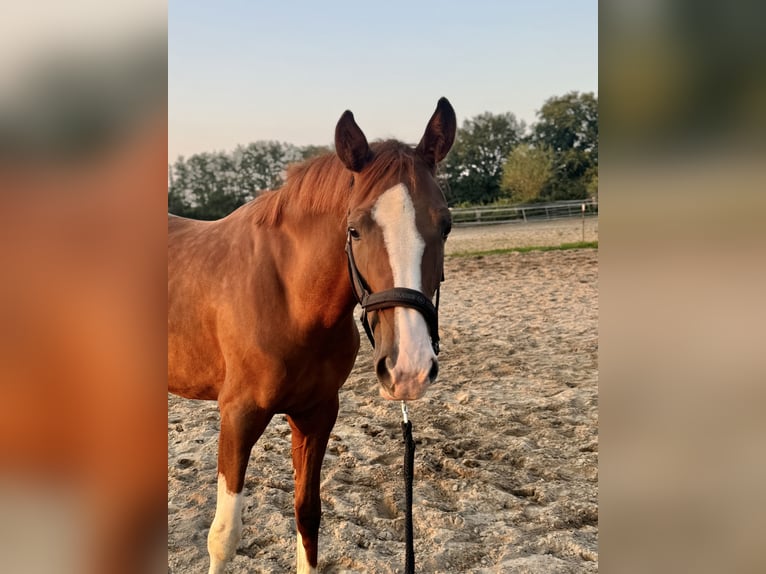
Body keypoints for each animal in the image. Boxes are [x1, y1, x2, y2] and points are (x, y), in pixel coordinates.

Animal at [168, 97, 456, 572]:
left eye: (446, 225)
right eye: (354, 228)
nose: (408, 369)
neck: (290, 299)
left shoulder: (317, 414)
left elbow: (307, 515)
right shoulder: (238, 416)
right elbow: (224, 536)